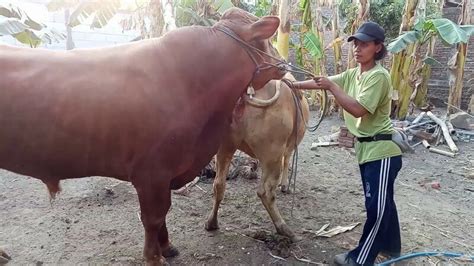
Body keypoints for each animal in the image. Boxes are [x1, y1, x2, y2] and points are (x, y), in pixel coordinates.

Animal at [0, 7, 286, 264]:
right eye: (267, 40)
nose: (283, 64)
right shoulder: (151, 173)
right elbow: (153, 217)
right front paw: (154, 257)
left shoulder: (166, 173)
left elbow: (164, 212)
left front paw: (167, 247)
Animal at [205, 74, 312, 242]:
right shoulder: (286, 148)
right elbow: (287, 161)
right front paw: (284, 185)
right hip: (272, 155)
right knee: (265, 192)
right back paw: (284, 228)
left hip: (225, 146)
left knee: (219, 184)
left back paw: (212, 222)